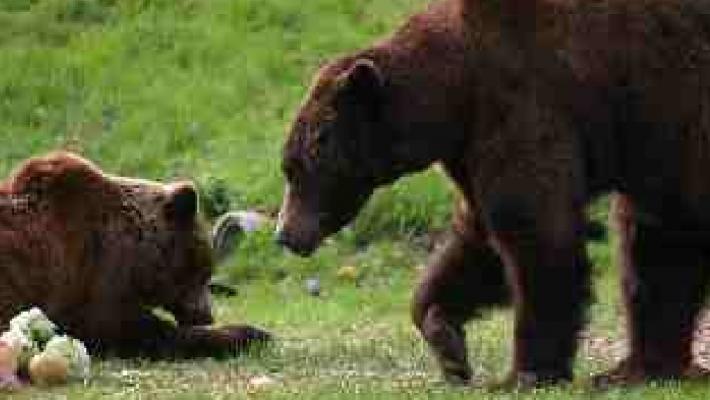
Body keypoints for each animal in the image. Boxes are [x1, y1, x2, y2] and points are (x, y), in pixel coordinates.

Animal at [276, 0, 710, 388]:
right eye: (290, 166)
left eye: (303, 162)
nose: (285, 234)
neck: (456, 92)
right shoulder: (474, 146)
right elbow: (479, 240)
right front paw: (448, 342)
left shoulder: (524, 103)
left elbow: (535, 232)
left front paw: (523, 373)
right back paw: (634, 368)